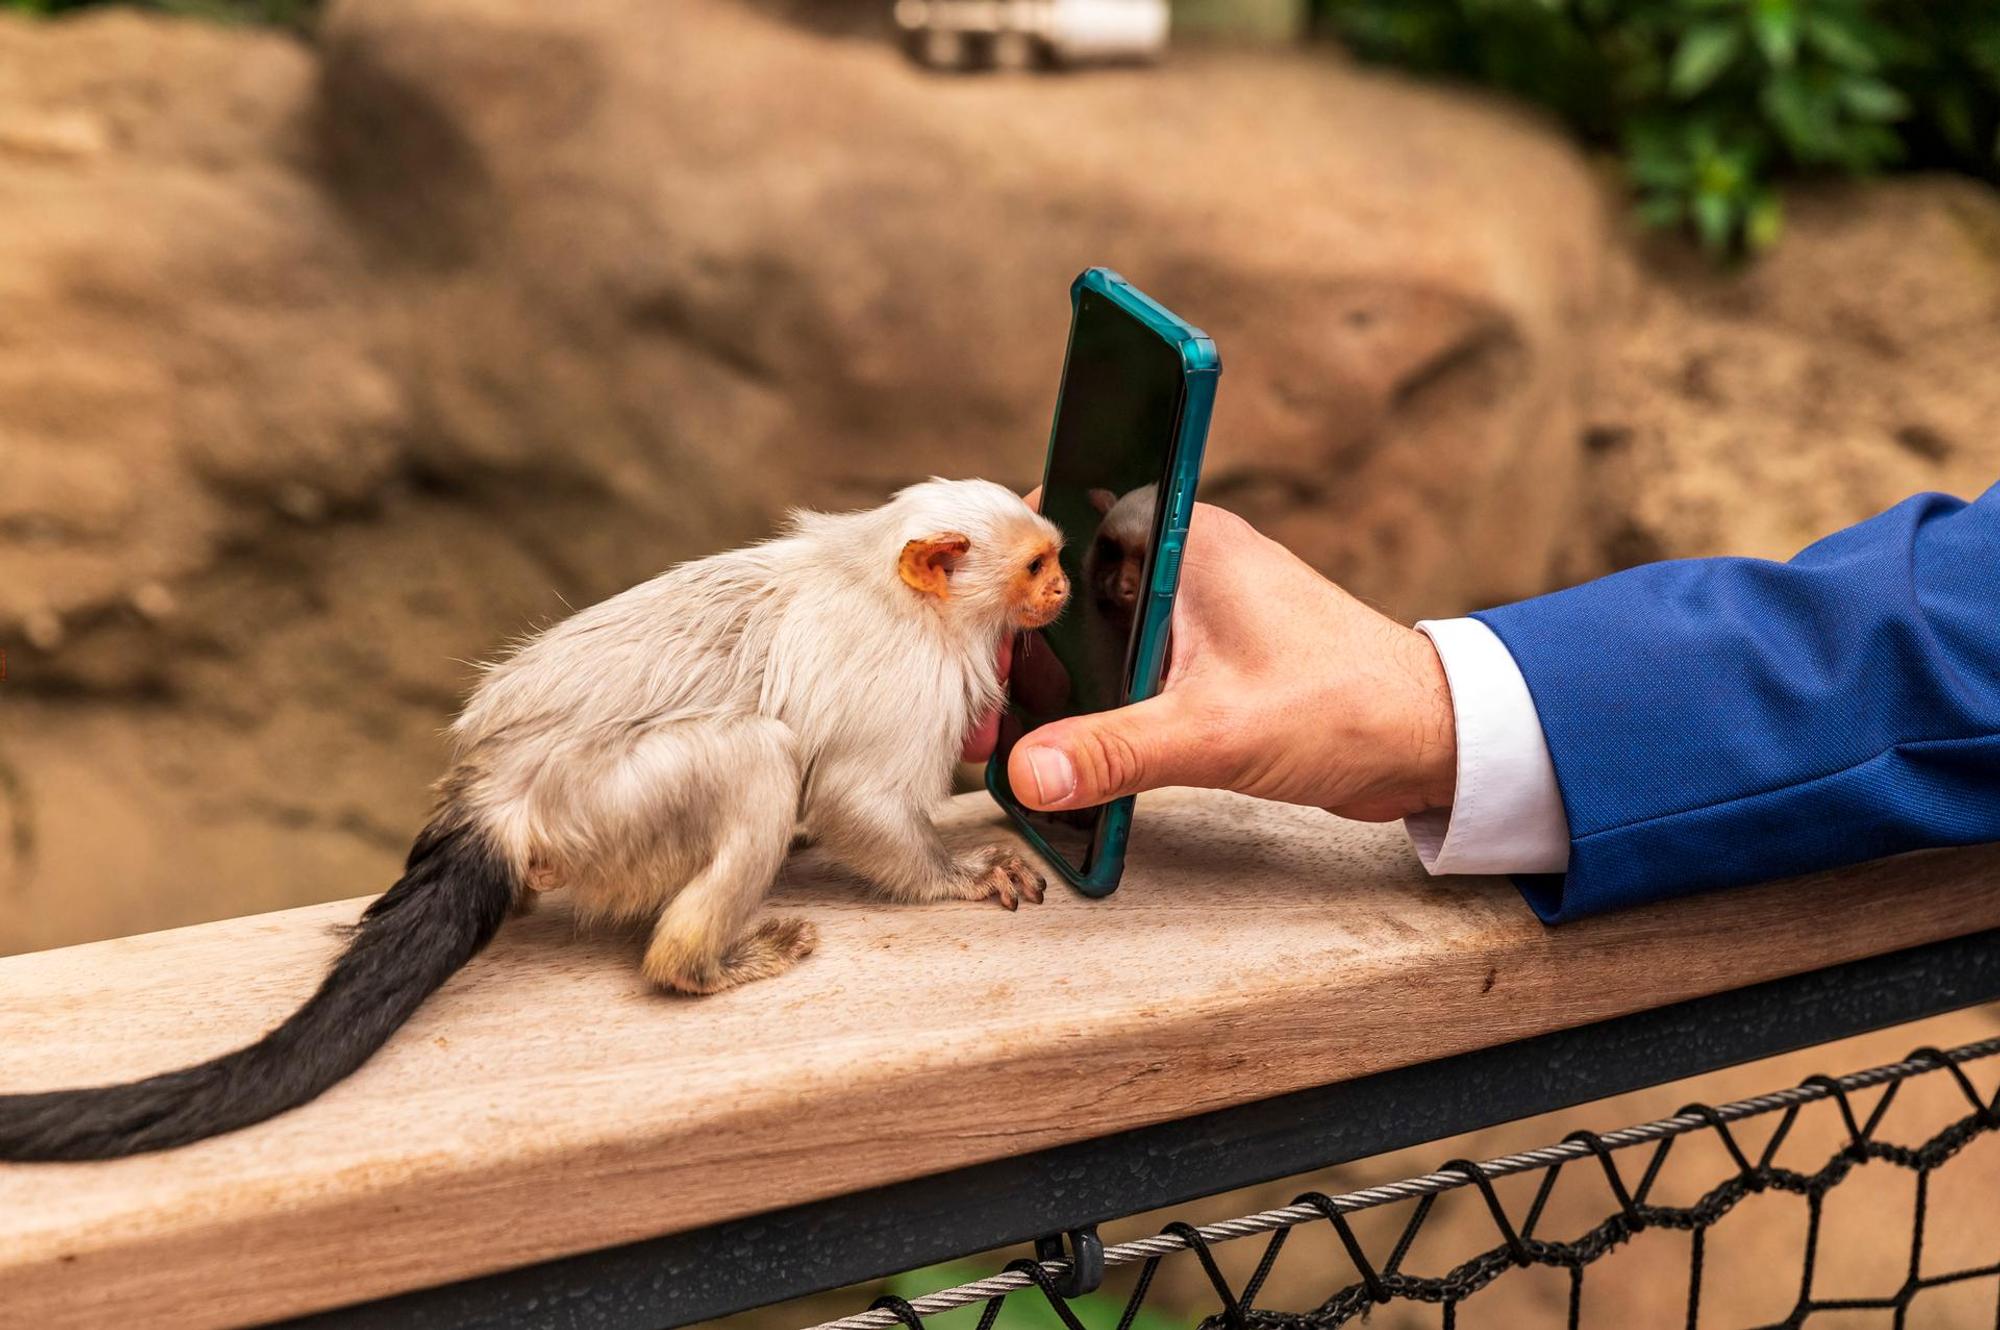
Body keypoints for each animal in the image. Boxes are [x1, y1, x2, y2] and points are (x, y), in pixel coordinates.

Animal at [0, 479, 1069, 1161]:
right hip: (610, 808)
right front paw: (963, 874)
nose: (1063, 588)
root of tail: (500, 798)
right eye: (1035, 566)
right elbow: (855, 798)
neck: (886, 583)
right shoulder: (906, 679)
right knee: (760, 760)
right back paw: (699, 966)